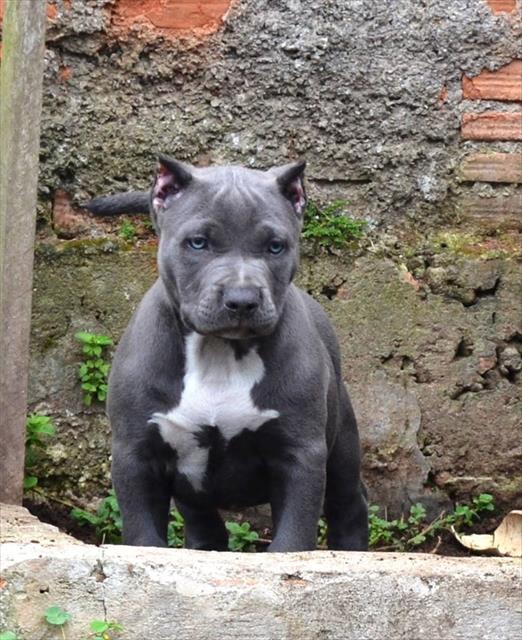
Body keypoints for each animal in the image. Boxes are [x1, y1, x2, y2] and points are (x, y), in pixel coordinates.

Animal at [87, 156, 368, 551]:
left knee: (348, 507)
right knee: (205, 526)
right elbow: (144, 535)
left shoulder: (301, 455)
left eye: (276, 247)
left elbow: (292, 538)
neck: (219, 352)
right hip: (192, 493)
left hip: (341, 445)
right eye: (198, 243)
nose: (242, 299)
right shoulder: (136, 455)